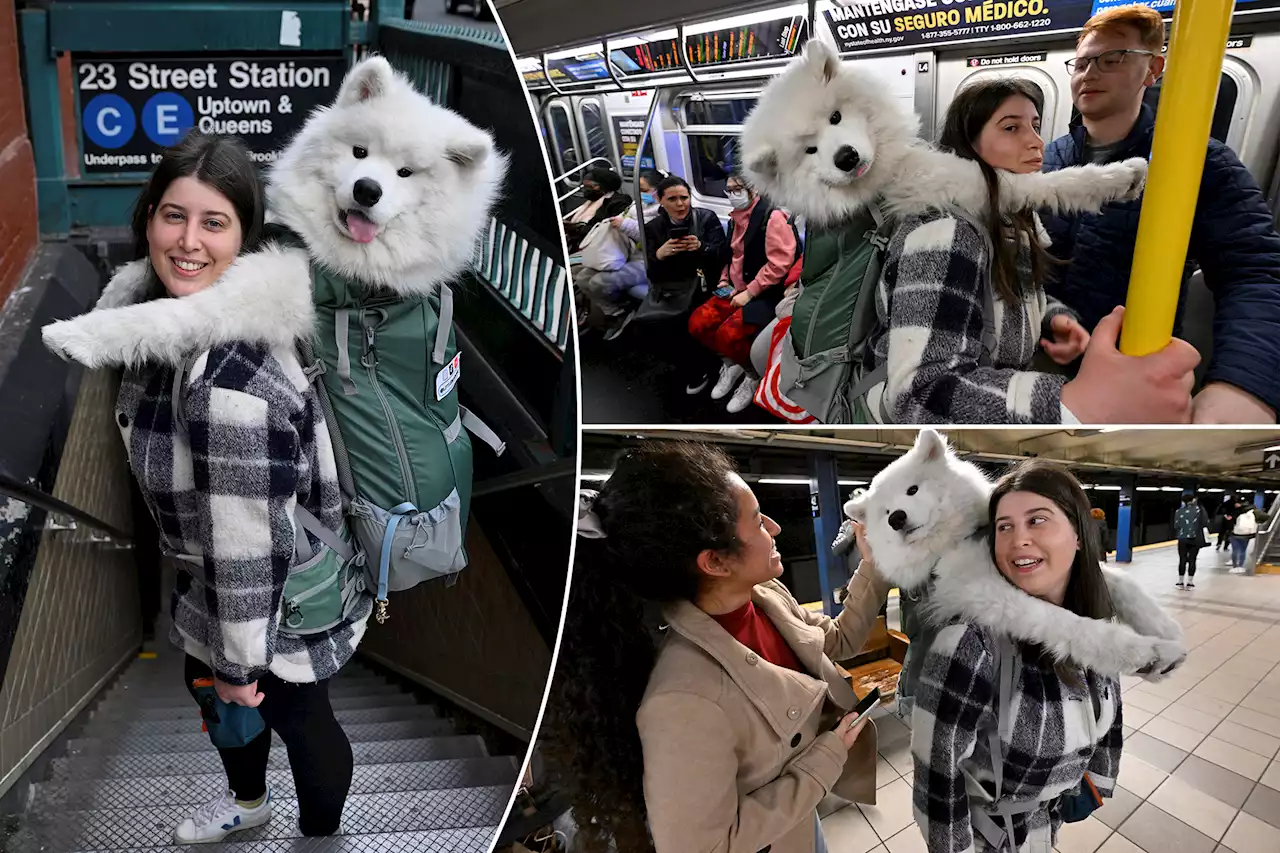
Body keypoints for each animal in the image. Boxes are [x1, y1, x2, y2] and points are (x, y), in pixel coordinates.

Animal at [41, 56, 499, 366]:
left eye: (405, 173)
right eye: (360, 151)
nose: (368, 190)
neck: (317, 245)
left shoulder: (260, 297)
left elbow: (163, 317)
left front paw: (72, 336)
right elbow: (134, 268)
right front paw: (108, 297)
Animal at [742, 39, 1152, 227]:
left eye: (836, 117)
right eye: (809, 151)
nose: (846, 158)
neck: (880, 182)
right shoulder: (959, 183)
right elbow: (1041, 185)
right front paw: (1123, 175)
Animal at [844, 427, 1182, 681]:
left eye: (912, 490)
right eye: (884, 512)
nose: (896, 518)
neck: (955, 539)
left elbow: (1124, 584)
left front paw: (1165, 628)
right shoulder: (986, 592)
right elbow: (1064, 621)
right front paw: (1147, 653)